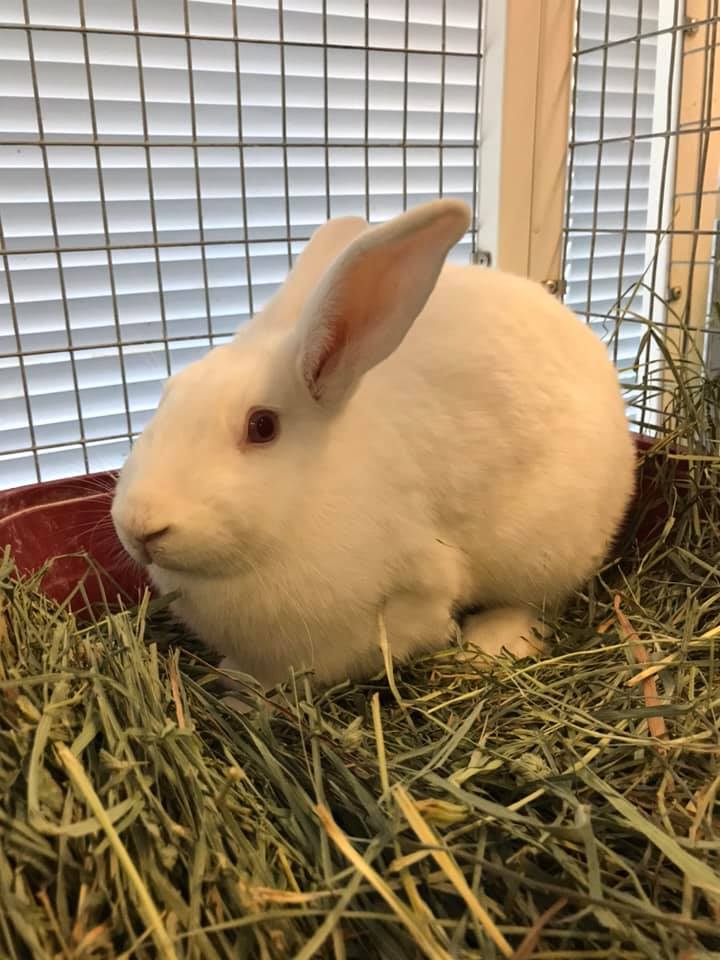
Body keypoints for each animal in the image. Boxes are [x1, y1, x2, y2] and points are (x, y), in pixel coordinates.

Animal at [111, 198, 636, 704]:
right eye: (169, 393)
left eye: (261, 426)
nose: (140, 527)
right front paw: (234, 682)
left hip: (545, 549)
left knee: (534, 602)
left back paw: (487, 645)